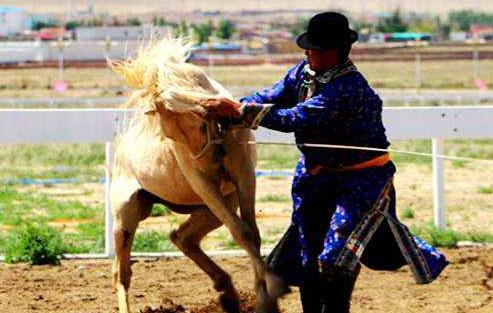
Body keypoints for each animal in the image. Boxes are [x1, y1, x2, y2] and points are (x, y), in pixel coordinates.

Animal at [106, 37, 284, 310]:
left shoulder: (243, 173)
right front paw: (269, 293)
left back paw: (227, 291)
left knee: (182, 237)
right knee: (121, 272)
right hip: (127, 214)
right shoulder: (202, 182)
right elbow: (241, 231)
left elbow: (250, 231)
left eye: (198, 121)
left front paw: (265, 294)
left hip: (210, 208)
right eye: (170, 135)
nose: (205, 161)